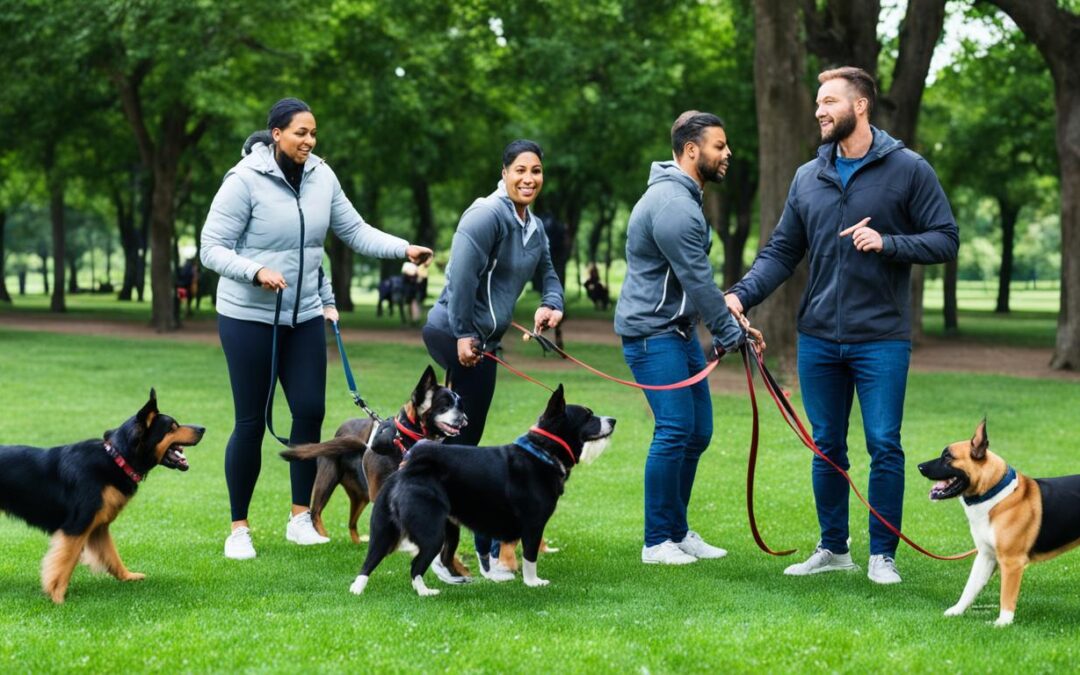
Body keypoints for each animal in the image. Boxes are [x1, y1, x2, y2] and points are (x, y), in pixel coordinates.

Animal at [0, 393, 203, 604]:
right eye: (172, 427)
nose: (203, 428)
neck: (117, 459)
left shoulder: (99, 527)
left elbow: (112, 556)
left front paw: (128, 576)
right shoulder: (77, 526)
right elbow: (64, 562)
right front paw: (57, 596)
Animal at [349, 384, 613, 596]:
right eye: (588, 415)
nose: (613, 420)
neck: (543, 451)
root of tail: (407, 470)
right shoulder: (533, 524)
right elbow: (530, 557)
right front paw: (533, 583)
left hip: (383, 530)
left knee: (368, 563)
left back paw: (358, 590)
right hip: (433, 532)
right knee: (415, 566)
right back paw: (426, 592)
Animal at [920, 421, 1080, 626]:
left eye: (948, 457)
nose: (920, 466)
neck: (994, 495)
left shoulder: (1012, 562)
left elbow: (1006, 596)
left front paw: (1002, 623)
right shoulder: (985, 556)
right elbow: (970, 587)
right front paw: (957, 611)